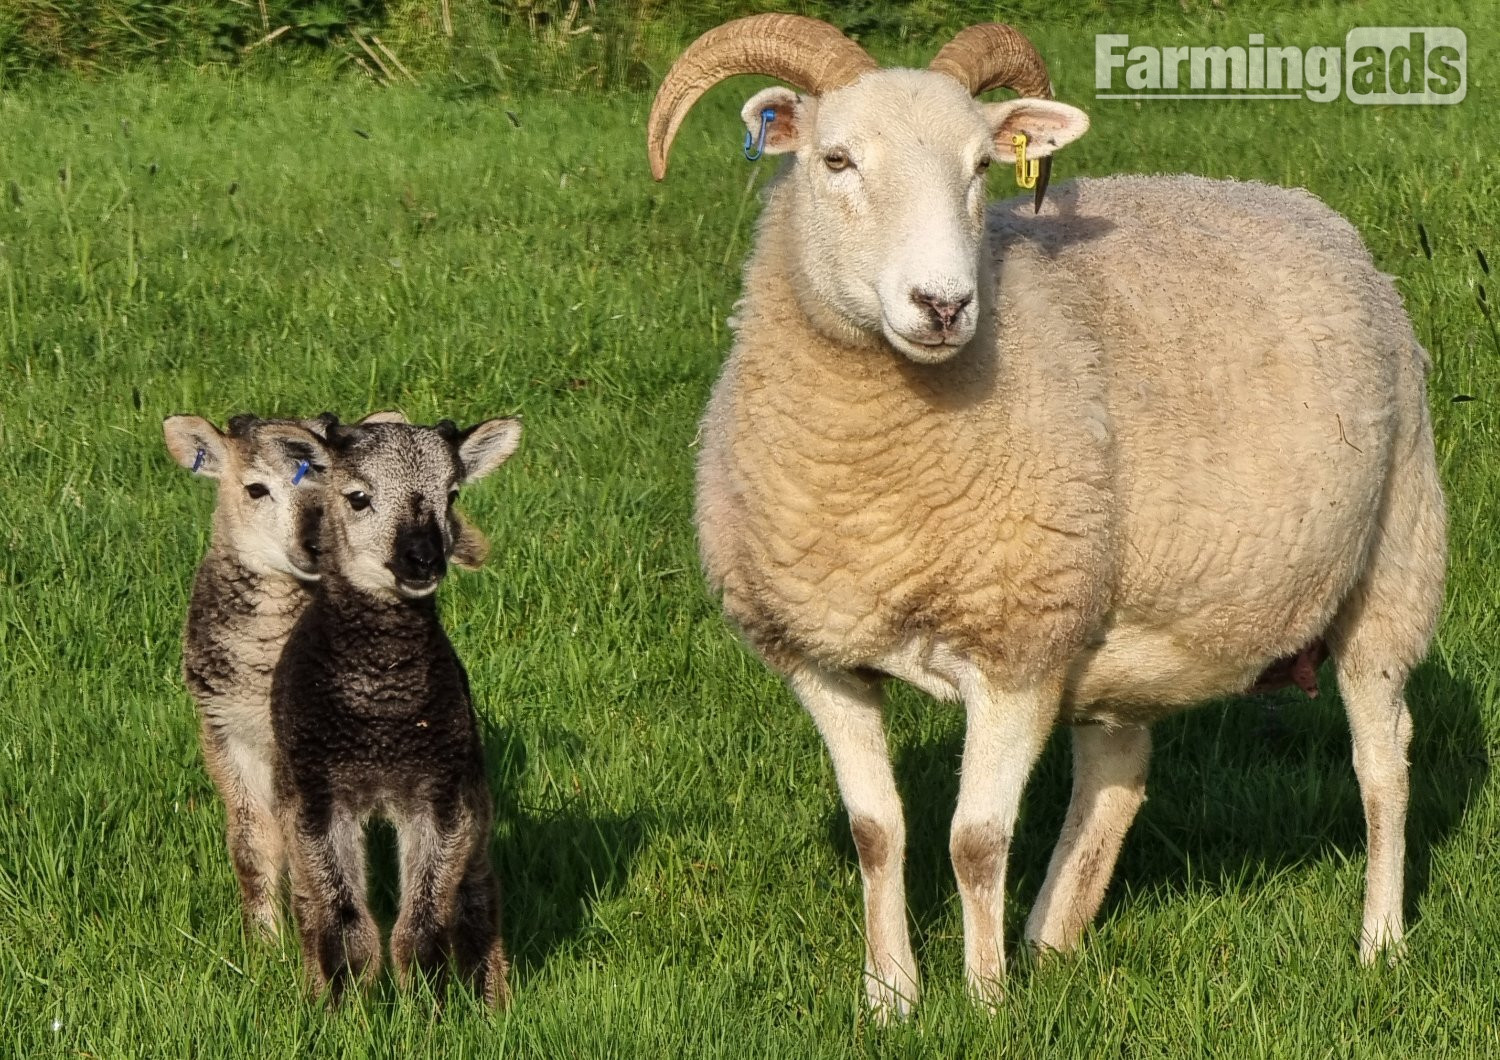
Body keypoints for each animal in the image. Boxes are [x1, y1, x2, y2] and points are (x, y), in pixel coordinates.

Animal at [270, 417, 520, 1007]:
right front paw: (341, 1005)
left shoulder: (440, 793)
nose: (424, 558)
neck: (382, 718)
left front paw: (428, 1003)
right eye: (357, 497)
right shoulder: (317, 794)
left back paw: (491, 996)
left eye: (451, 495)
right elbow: (340, 918)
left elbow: (424, 920)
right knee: (308, 904)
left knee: (477, 891)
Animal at [647, 15, 1447, 1017]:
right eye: (836, 160)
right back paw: (1053, 940)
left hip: (1394, 563)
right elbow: (876, 832)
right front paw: (889, 998)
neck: (874, 487)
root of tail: (1311, 211)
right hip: (1114, 623)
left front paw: (984, 1002)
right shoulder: (820, 657)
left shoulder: (1016, 647)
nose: (943, 305)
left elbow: (974, 840)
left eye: (981, 168)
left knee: (1384, 765)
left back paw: (1380, 943)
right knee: (1118, 770)